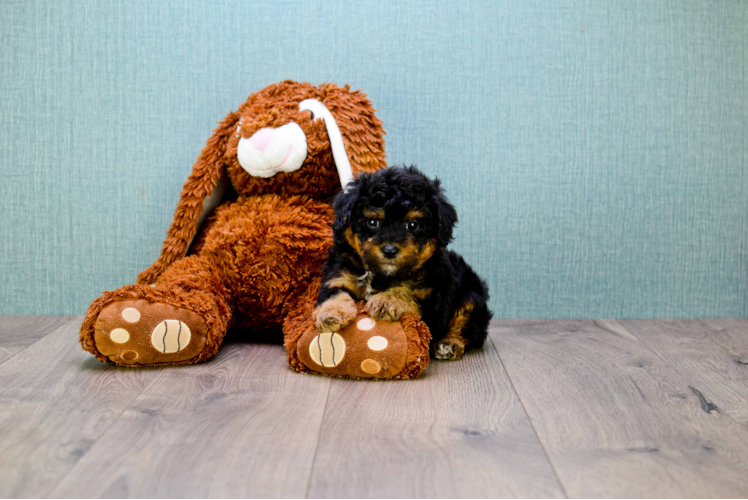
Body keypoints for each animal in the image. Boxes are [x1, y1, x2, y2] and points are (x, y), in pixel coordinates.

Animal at [314, 165, 494, 360]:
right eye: (373, 222)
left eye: (413, 225)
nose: (390, 250)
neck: (381, 274)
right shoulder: (338, 275)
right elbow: (333, 293)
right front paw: (331, 314)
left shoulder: (432, 298)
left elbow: (407, 292)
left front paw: (386, 301)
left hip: (471, 296)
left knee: (466, 326)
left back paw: (450, 344)